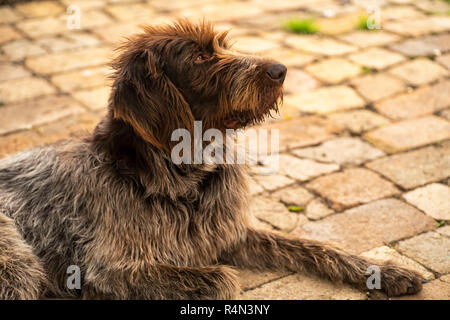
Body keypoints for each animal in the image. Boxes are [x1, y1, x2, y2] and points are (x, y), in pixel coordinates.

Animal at [0, 20, 424, 300]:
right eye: (201, 57)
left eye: (221, 46)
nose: (281, 70)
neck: (182, 180)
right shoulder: (111, 269)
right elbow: (223, 279)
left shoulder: (229, 234)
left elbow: (315, 247)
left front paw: (382, 271)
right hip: (19, 264)